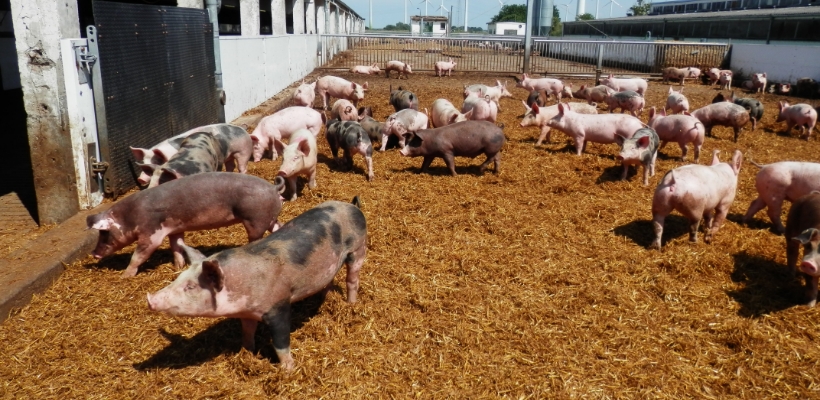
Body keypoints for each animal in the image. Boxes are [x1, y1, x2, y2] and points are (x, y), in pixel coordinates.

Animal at [88, 172, 286, 278]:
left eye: (104, 233)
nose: (94, 253)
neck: (130, 216)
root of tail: (272, 188)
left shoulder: (151, 232)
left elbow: (139, 255)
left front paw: (125, 276)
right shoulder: (175, 229)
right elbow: (176, 246)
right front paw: (178, 267)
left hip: (254, 220)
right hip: (268, 218)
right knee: (277, 226)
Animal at [146, 198, 366, 370]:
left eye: (191, 287)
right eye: (178, 278)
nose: (150, 300)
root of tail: (351, 206)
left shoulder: (279, 305)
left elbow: (280, 344)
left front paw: (289, 370)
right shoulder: (246, 313)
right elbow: (247, 333)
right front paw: (247, 352)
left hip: (358, 248)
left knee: (352, 279)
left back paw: (351, 304)